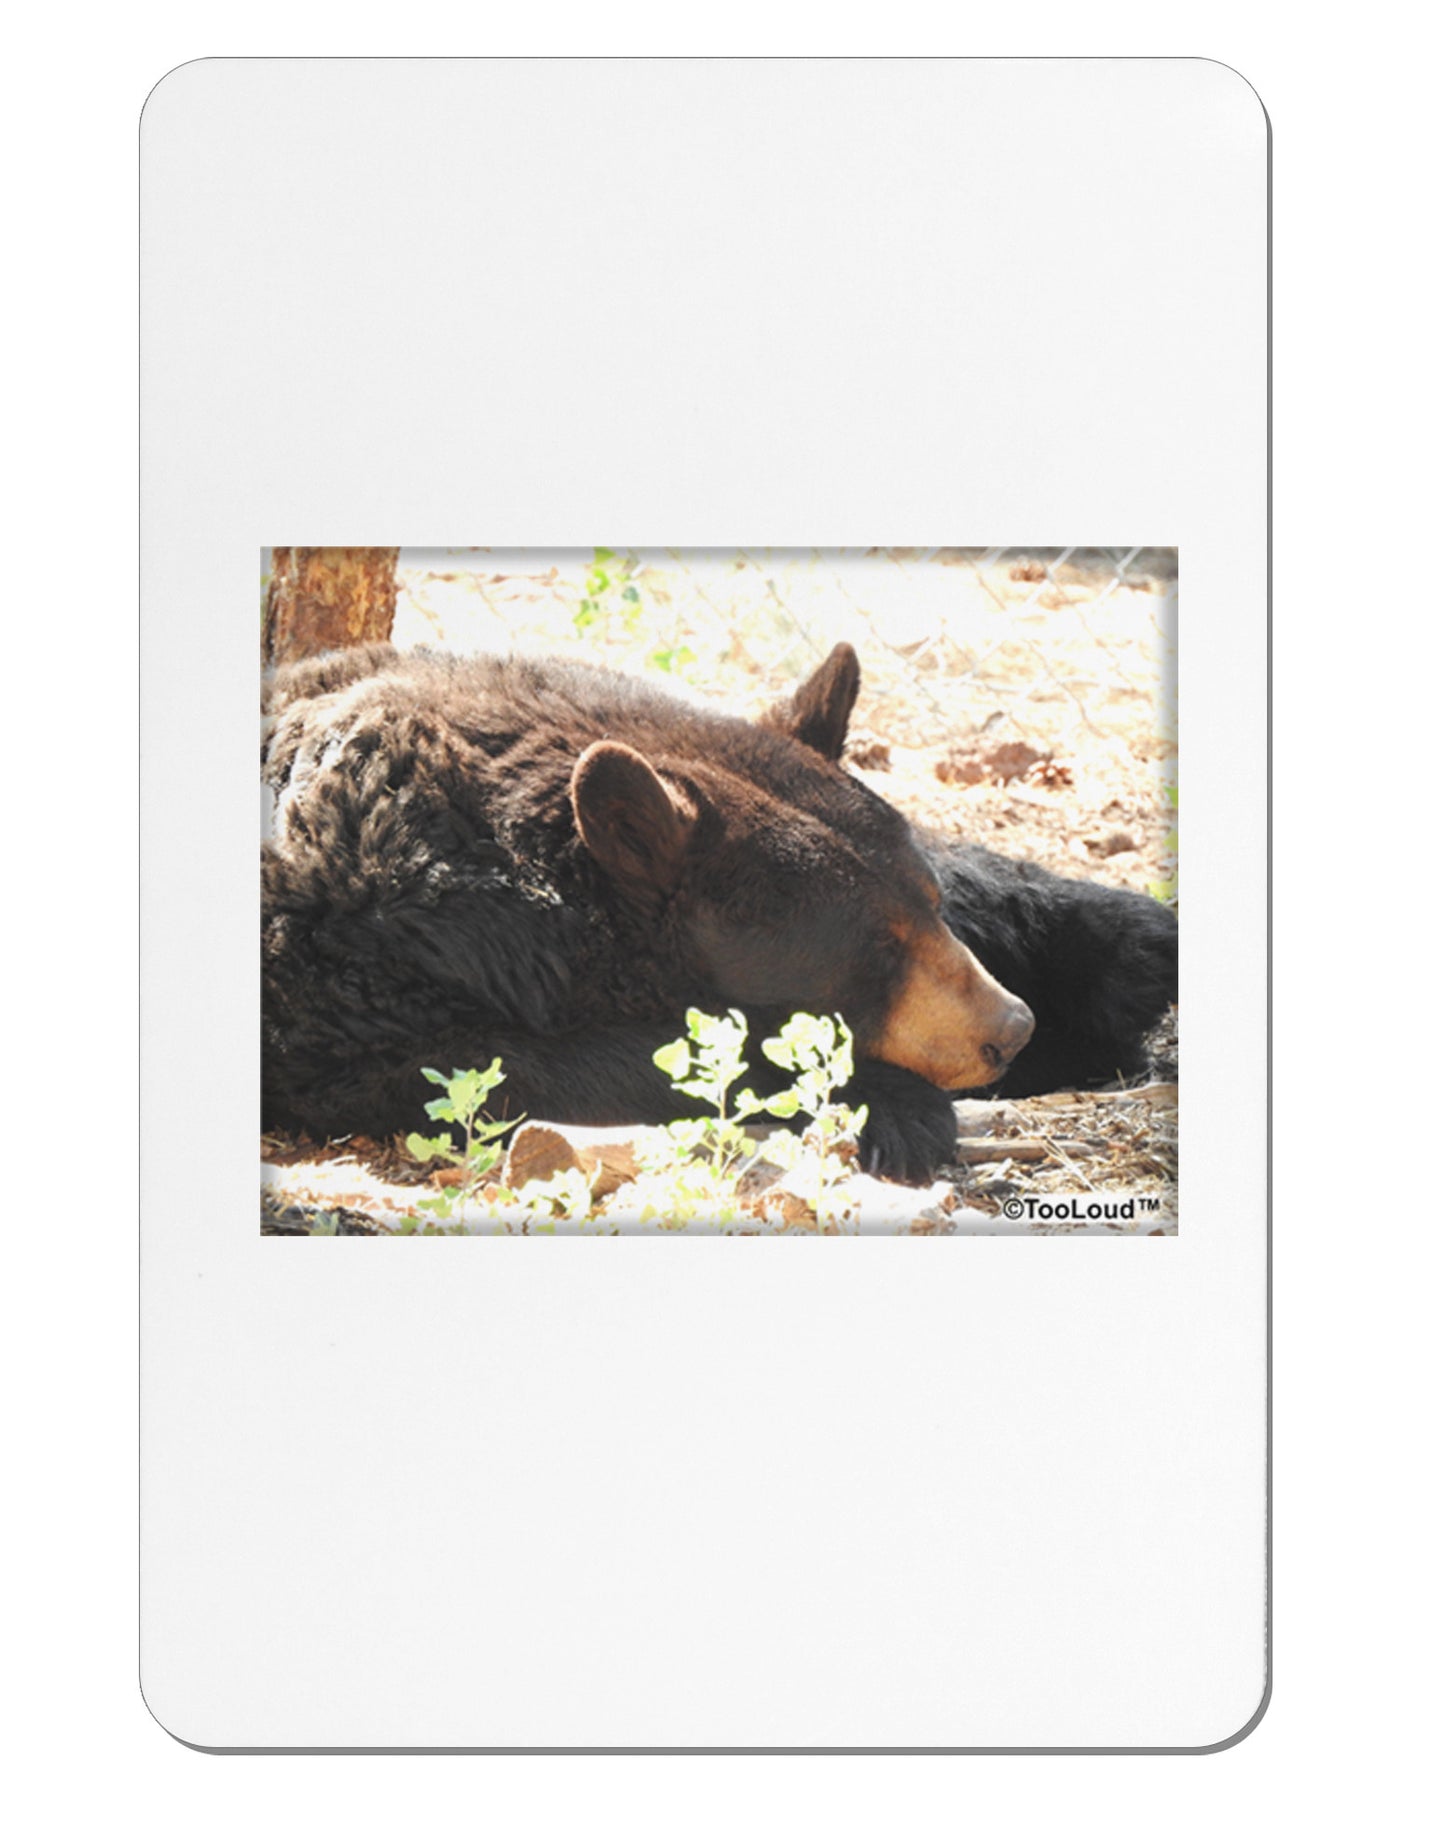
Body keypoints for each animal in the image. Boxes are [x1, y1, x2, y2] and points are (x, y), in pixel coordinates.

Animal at [261, 642, 1175, 1184]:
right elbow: (489, 1066)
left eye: (930, 907)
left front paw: (1126, 956)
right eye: (869, 957)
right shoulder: (349, 984)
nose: (1009, 1030)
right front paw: (896, 1106)